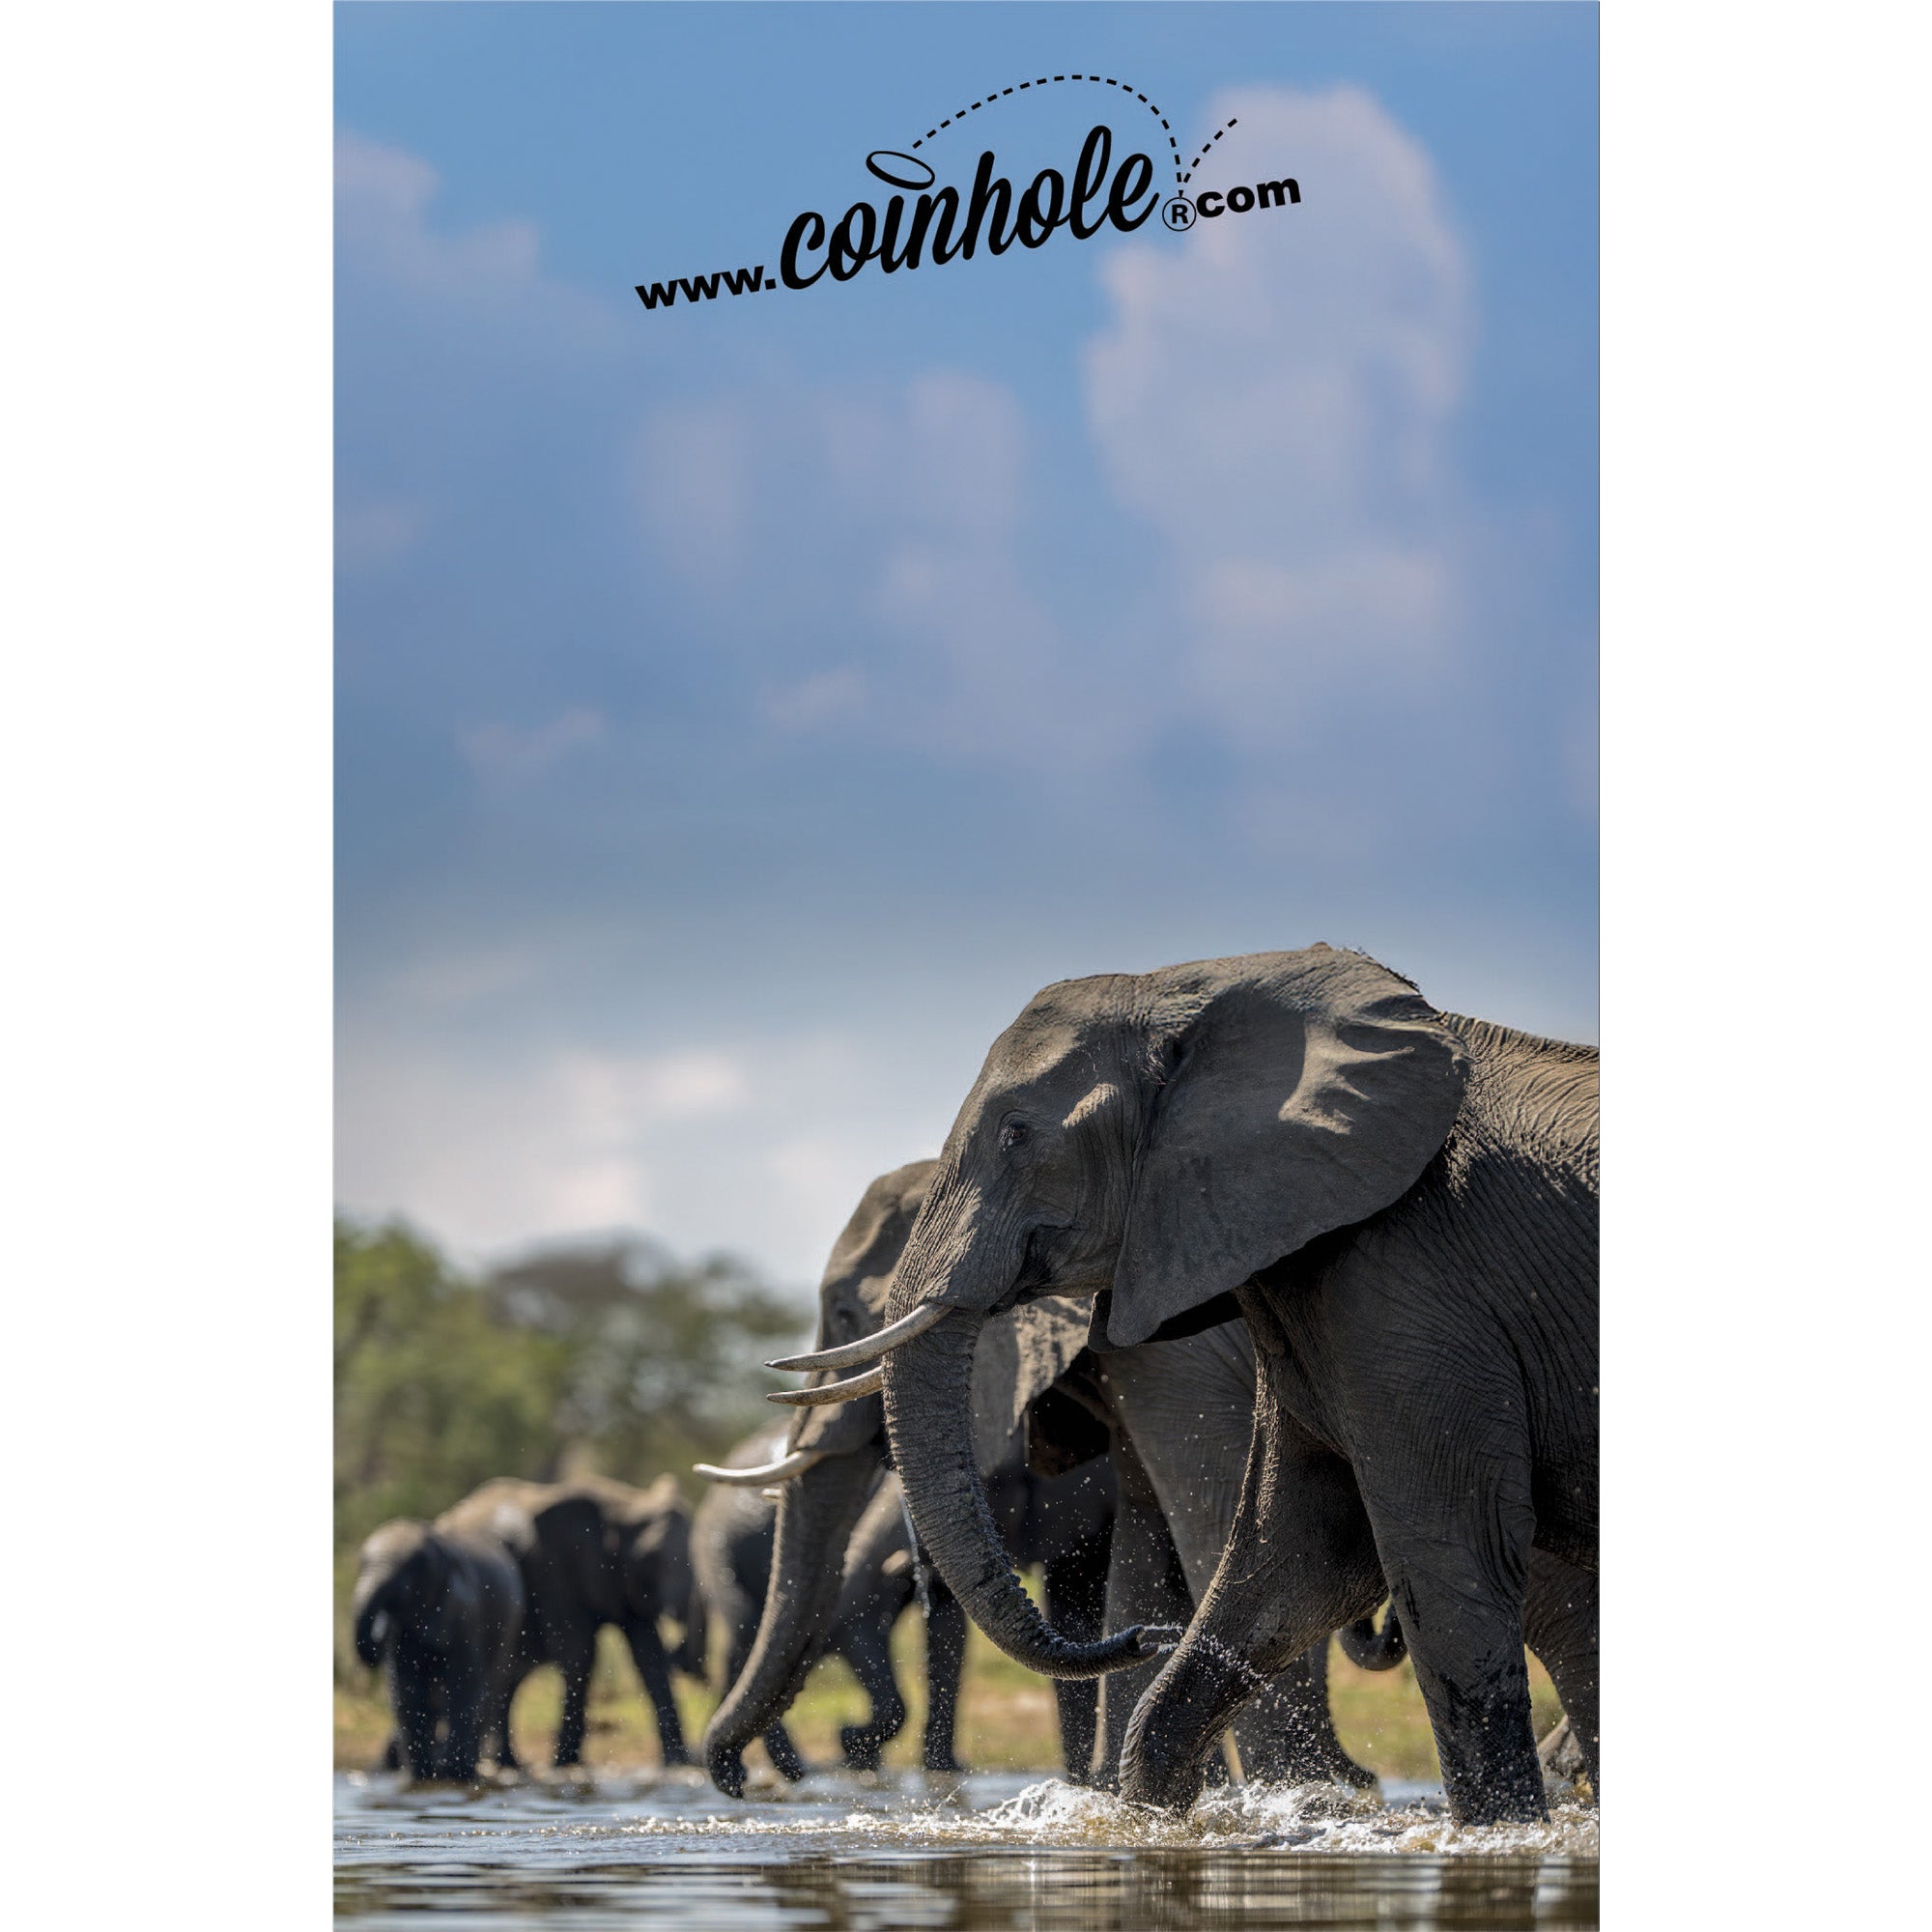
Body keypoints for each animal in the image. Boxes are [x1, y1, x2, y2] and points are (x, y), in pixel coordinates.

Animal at [352, 1509, 526, 1781]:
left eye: (410, 1569)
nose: (377, 1637)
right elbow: (408, 1689)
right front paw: (421, 1775)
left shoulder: (465, 1611)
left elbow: (462, 1683)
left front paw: (456, 1773)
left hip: (509, 1627)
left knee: (488, 1693)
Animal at [439, 1473, 705, 1771]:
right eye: (652, 1557)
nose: (682, 1660)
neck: (624, 1506)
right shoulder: (556, 1567)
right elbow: (579, 1652)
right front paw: (566, 1764)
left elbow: (650, 1657)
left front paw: (677, 1764)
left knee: (508, 1681)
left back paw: (511, 1764)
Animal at [711, 1160, 1377, 1798]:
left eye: (848, 1313)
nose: (740, 1783)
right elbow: (1139, 1549)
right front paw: (1115, 1798)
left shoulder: (1179, 1362)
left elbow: (1211, 1530)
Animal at [826, 946, 1595, 1825]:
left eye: (1017, 1133)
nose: (1148, 1640)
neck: (1209, 980)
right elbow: (1294, 1555)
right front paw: (1162, 1817)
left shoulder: (1411, 1281)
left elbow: (1442, 1556)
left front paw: (1487, 1833)